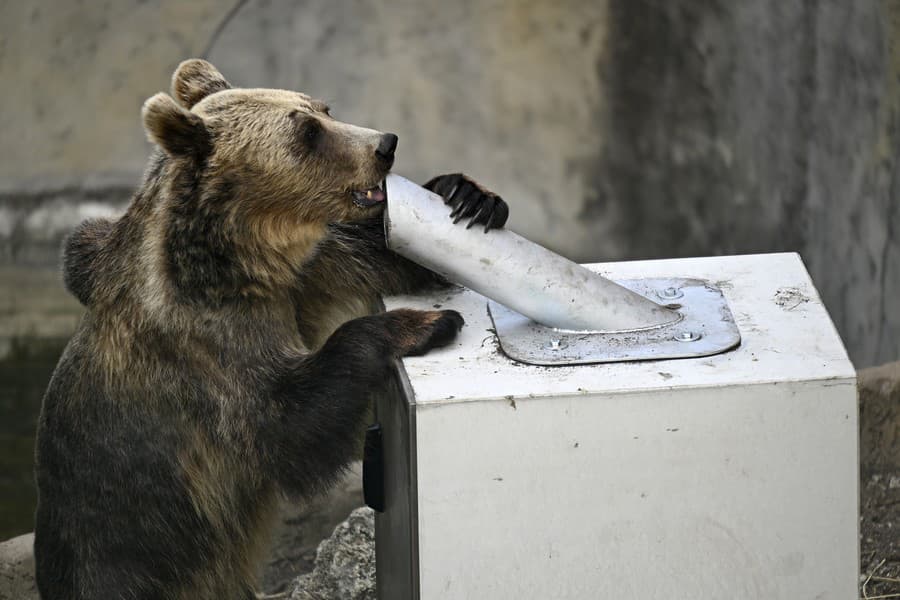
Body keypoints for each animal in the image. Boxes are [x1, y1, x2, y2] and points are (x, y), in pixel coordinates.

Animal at [33, 59, 506, 600]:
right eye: (307, 132)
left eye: (324, 109)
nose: (385, 144)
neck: (246, 261)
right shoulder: (205, 348)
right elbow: (286, 423)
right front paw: (422, 323)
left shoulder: (312, 270)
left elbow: (388, 255)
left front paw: (465, 195)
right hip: (134, 563)